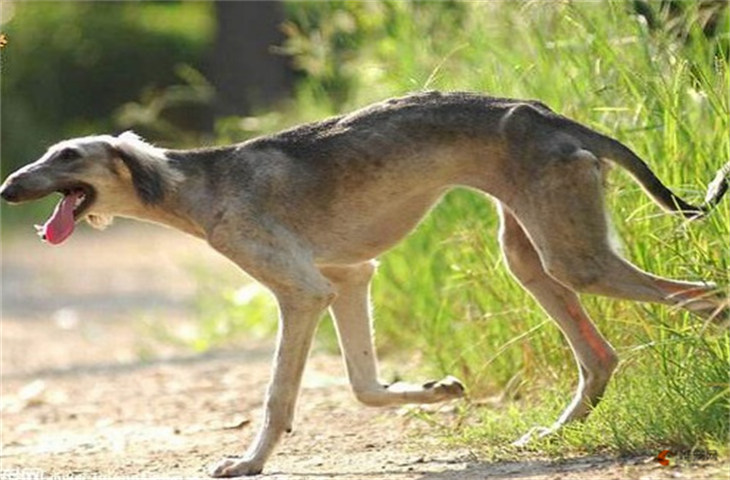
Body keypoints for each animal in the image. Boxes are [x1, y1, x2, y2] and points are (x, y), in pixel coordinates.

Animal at [0, 92, 724, 478]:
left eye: (68, 155)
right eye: (48, 153)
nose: (7, 186)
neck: (197, 183)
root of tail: (547, 115)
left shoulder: (301, 293)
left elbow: (279, 397)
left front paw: (248, 462)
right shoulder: (349, 280)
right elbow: (364, 385)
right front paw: (435, 390)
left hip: (574, 259)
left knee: (708, 297)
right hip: (531, 256)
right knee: (599, 356)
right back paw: (548, 436)